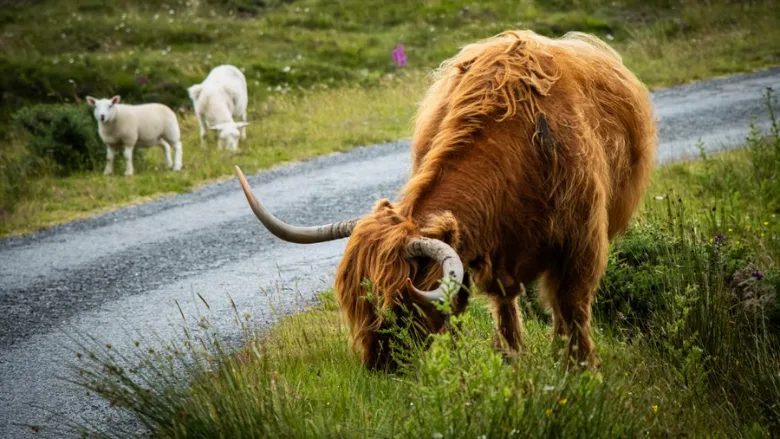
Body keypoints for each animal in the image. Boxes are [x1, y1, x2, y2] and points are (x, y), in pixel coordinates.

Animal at [235, 30, 657, 371]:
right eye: (355, 303)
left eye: (398, 305)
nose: (380, 365)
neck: (516, 150)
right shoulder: (491, 258)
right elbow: (501, 306)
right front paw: (510, 360)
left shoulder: (581, 245)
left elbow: (572, 308)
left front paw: (580, 369)